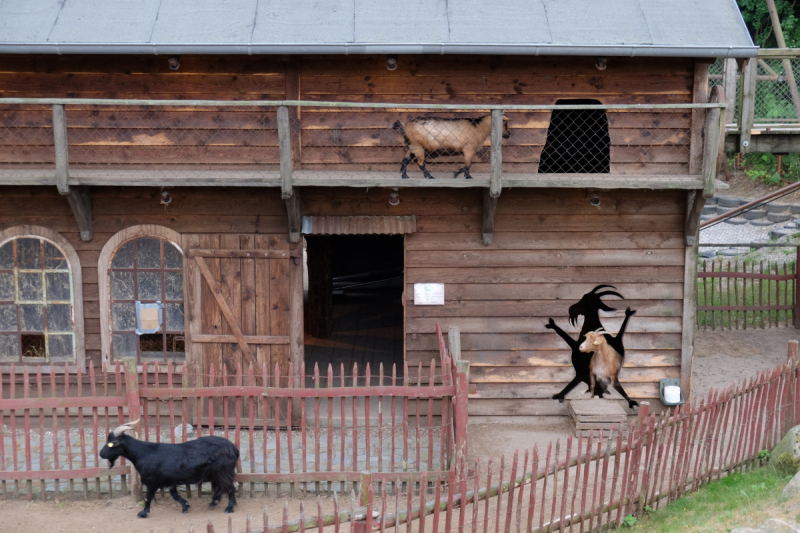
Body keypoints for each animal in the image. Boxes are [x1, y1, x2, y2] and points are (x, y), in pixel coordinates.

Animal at [99, 420, 239, 516]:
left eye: (110, 444)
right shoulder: (170, 479)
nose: (101, 454)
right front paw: (185, 506)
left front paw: (143, 513)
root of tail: (234, 448)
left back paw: (228, 508)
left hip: (223, 471)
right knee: (223, 488)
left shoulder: (152, 481)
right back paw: (214, 502)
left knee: (230, 488)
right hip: (217, 473)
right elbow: (174, 494)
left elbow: (148, 497)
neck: (144, 453)